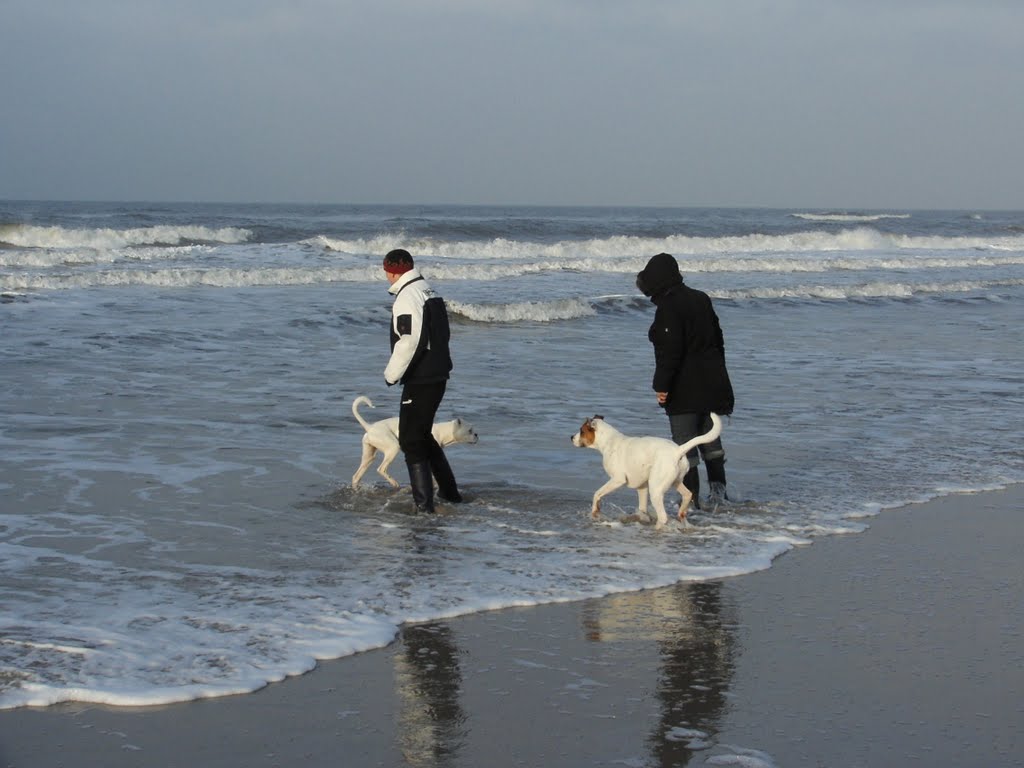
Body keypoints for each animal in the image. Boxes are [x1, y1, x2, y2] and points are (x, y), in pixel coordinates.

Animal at [573, 415, 724, 528]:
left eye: (581, 431)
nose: (571, 437)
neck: (609, 442)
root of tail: (678, 450)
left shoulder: (617, 480)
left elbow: (597, 493)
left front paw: (595, 511)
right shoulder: (642, 487)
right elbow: (642, 509)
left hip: (656, 489)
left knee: (663, 516)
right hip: (675, 482)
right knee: (688, 494)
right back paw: (681, 513)